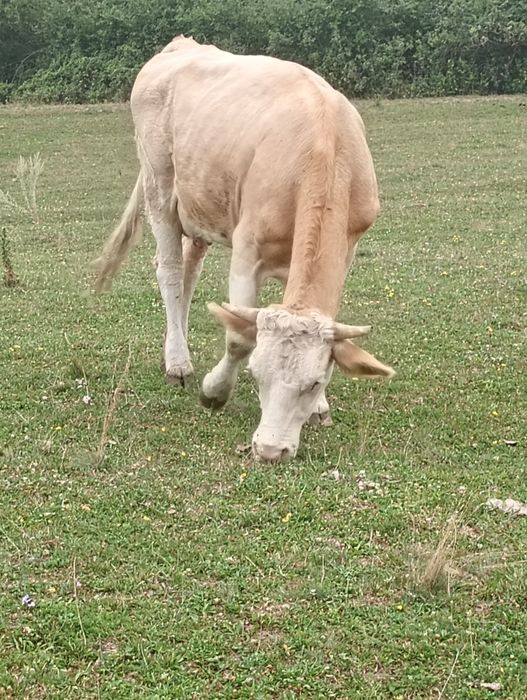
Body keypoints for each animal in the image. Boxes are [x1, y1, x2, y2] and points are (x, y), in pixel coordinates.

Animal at [95, 36, 394, 461]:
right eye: (256, 373)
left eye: (315, 382)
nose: (270, 449)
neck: (325, 148)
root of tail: (179, 45)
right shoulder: (247, 247)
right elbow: (239, 336)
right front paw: (214, 392)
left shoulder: (348, 247)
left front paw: (320, 409)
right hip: (160, 187)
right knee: (169, 271)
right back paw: (178, 363)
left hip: (200, 204)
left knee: (188, 275)